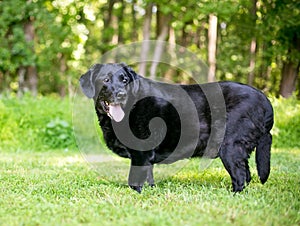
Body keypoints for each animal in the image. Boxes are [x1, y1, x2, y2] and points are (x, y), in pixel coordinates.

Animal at [79, 62, 274, 193]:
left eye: (125, 80)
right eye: (106, 79)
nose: (121, 94)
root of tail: (264, 99)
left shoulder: (140, 153)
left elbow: (134, 180)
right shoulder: (146, 156)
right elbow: (148, 177)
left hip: (230, 147)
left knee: (240, 176)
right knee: (246, 175)